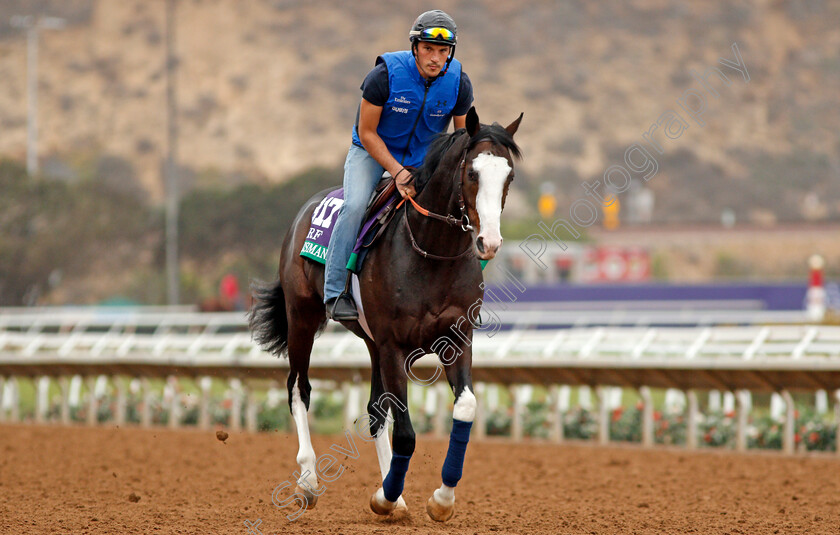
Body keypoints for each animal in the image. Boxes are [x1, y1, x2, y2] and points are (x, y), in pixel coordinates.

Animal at [248, 108, 520, 524]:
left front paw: (440, 500)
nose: (488, 242)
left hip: (371, 343)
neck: (432, 253)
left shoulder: (456, 340)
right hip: (303, 317)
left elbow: (465, 407)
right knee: (299, 388)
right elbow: (406, 431)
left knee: (376, 411)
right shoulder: (394, 344)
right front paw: (387, 496)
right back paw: (308, 482)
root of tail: (306, 210)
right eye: (472, 172)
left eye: (509, 175)